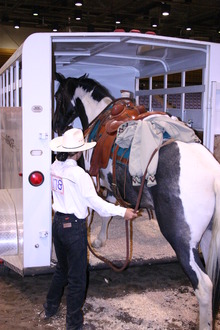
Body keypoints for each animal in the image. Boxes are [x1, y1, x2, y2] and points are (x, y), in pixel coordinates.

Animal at [53, 72, 220, 330]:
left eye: (58, 96)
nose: (55, 125)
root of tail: (212, 174)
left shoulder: (99, 180)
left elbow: (104, 211)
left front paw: (98, 241)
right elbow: (111, 211)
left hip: (183, 241)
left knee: (203, 286)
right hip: (208, 237)